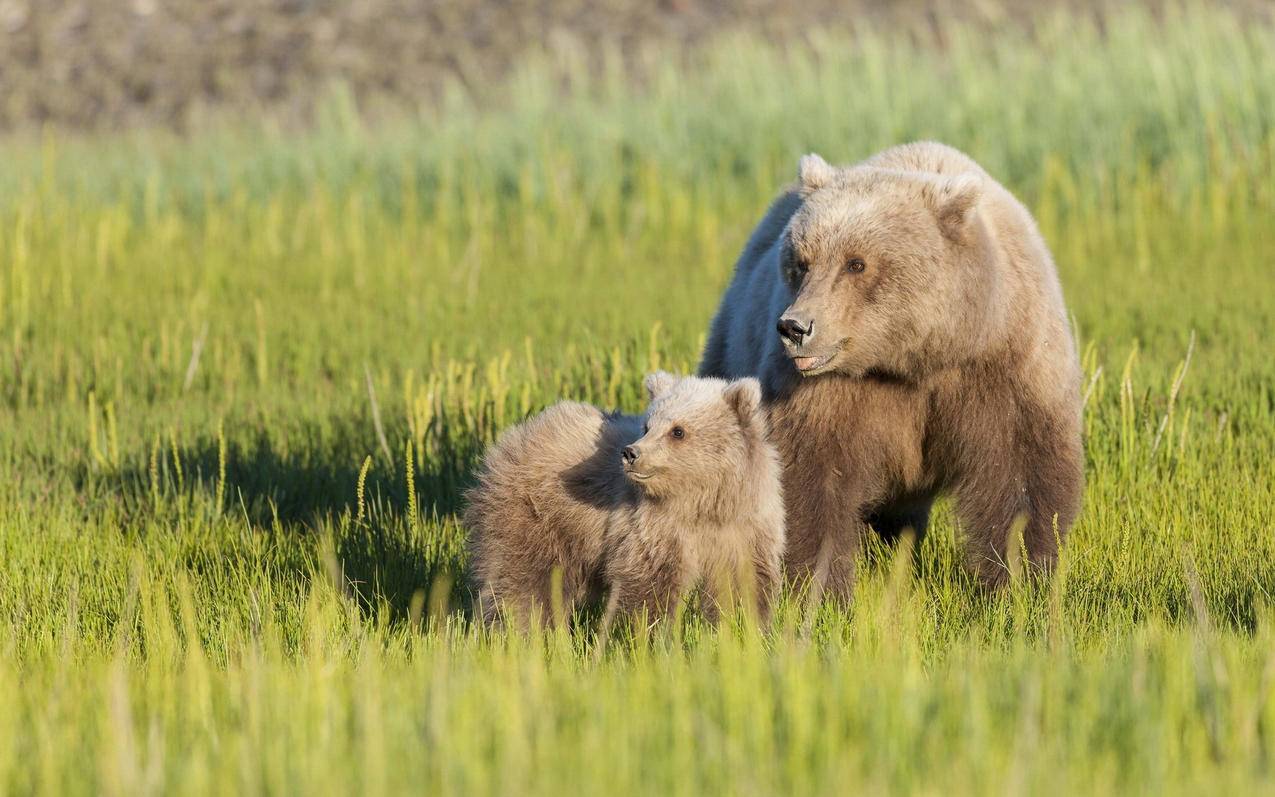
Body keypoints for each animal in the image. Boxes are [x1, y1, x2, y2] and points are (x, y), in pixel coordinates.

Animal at [698, 139, 1086, 596]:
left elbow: (1020, 473)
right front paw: (818, 587)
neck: (915, 357)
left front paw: (1020, 579)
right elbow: (810, 474)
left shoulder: (1002, 366)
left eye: (856, 263)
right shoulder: (830, 392)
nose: (794, 327)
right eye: (801, 262)